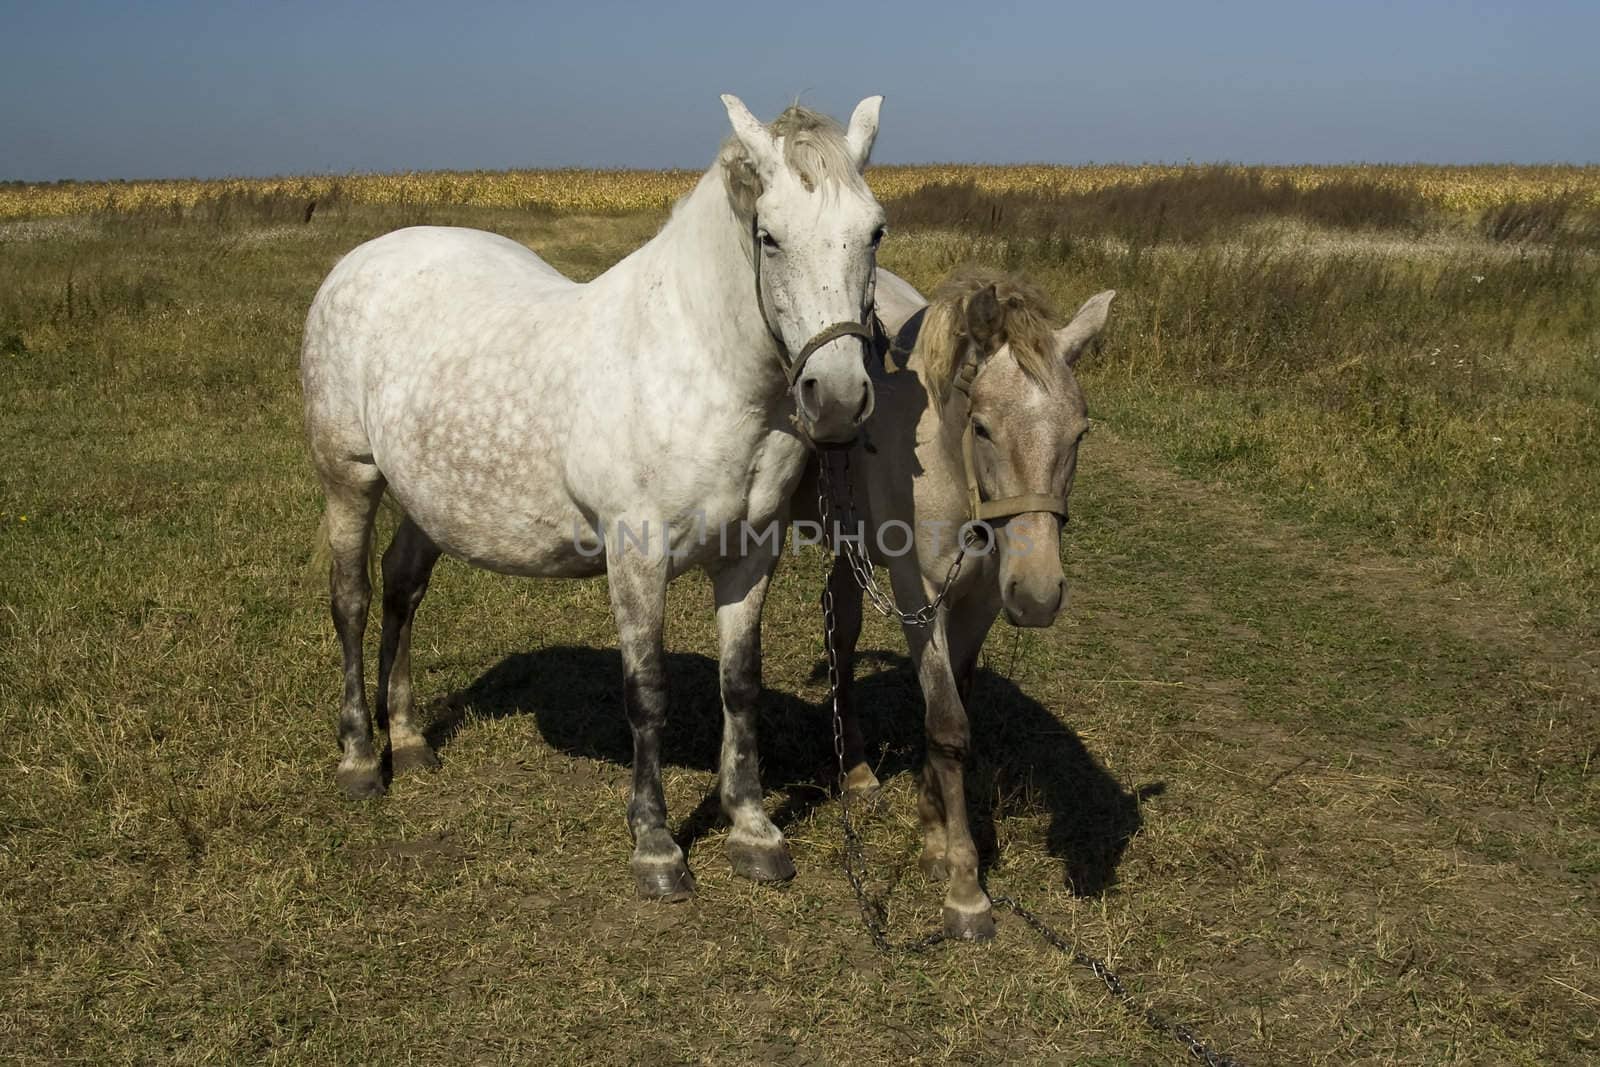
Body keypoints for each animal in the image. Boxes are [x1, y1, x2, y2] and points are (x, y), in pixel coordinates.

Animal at [300, 93, 889, 902]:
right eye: (769, 237)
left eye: (875, 231)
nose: (836, 399)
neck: (696, 368)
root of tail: (357, 263)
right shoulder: (636, 558)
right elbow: (647, 693)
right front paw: (656, 848)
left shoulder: (749, 556)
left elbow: (740, 684)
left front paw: (752, 830)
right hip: (350, 477)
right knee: (353, 599)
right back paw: (361, 756)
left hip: (430, 498)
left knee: (401, 588)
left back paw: (410, 740)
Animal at [812, 271, 1113, 940]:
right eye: (984, 428)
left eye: (1079, 433)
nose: (1039, 594)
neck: (951, 467)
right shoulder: (917, 595)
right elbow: (948, 723)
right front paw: (966, 890)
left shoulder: (979, 601)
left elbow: (953, 703)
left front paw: (933, 836)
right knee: (842, 637)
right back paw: (856, 772)